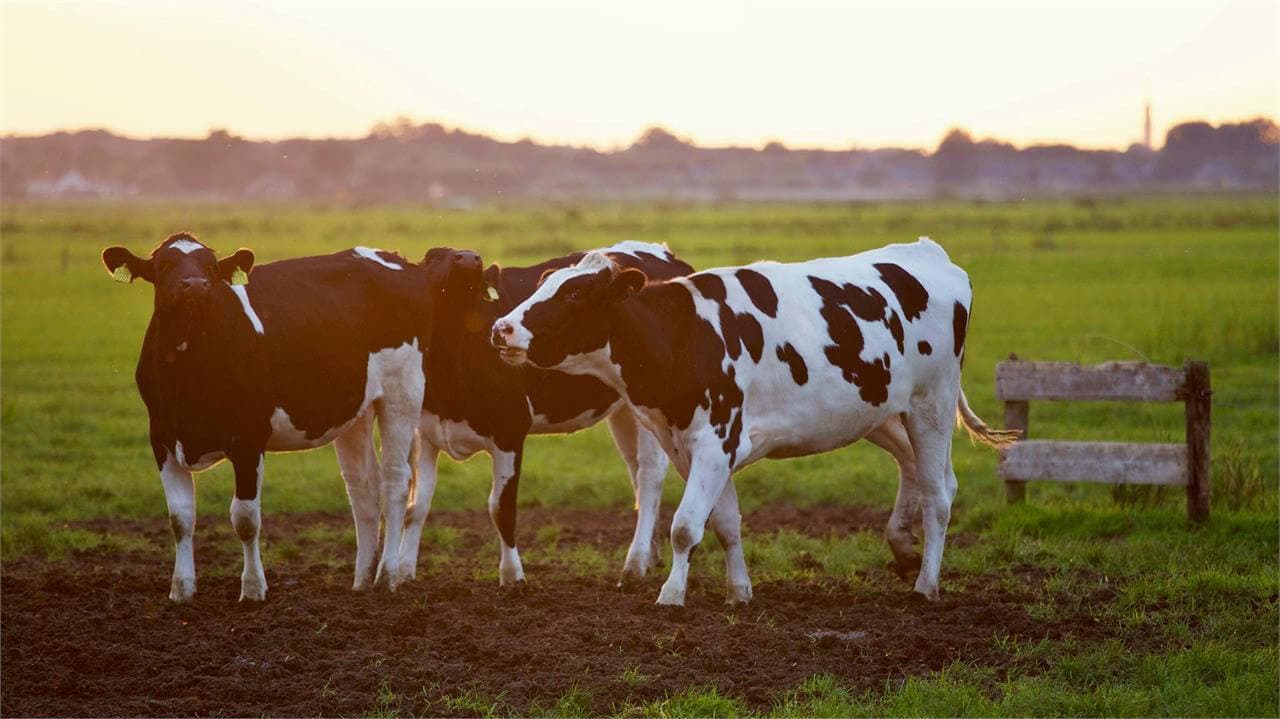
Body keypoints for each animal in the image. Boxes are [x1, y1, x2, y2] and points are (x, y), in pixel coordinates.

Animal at [99, 234, 442, 598]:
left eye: (211, 266)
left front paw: (252, 588)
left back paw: (387, 575)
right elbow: (180, 518)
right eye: (164, 265)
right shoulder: (161, 438)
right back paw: (361, 580)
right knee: (363, 488)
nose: (195, 285)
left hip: (402, 392)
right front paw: (182, 589)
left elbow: (245, 518)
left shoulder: (249, 439)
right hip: (356, 409)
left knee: (395, 481)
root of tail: (396, 258)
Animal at [399, 240, 696, 583]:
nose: (470, 258)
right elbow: (416, 506)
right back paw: (650, 556)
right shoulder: (426, 432)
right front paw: (401, 572)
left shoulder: (510, 430)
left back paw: (634, 564)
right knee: (635, 471)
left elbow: (501, 508)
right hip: (625, 410)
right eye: (433, 257)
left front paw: (513, 577)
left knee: (649, 476)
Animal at [488, 236, 1018, 603]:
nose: (501, 327)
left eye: (576, 295)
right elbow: (724, 523)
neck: (684, 334)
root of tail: (928, 252)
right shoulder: (694, 447)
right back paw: (903, 549)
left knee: (938, 495)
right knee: (922, 471)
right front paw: (738, 591)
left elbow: (685, 526)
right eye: (544, 284)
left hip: (932, 403)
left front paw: (671, 595)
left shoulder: (715, 441)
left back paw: (927, 584)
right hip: (882, 410)